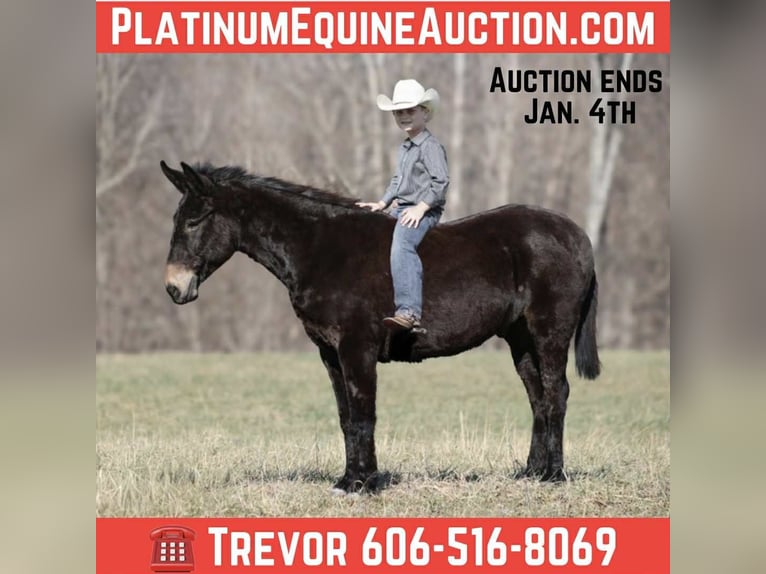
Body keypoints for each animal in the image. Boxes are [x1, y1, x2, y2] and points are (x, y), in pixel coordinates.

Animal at [160, 161, 600, 493]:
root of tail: (577, 235)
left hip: (549, 332)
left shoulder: (357, 348)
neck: (321, 249)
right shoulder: (330, 352)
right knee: (537, 397)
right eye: (176, 218)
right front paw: (348, 480)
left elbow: (363, 412)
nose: (173, 287)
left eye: (196, 220)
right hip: (520, 338)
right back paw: (532, 472)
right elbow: (345, 417)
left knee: (556, 393)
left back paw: (555, 475)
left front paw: (365, 483)